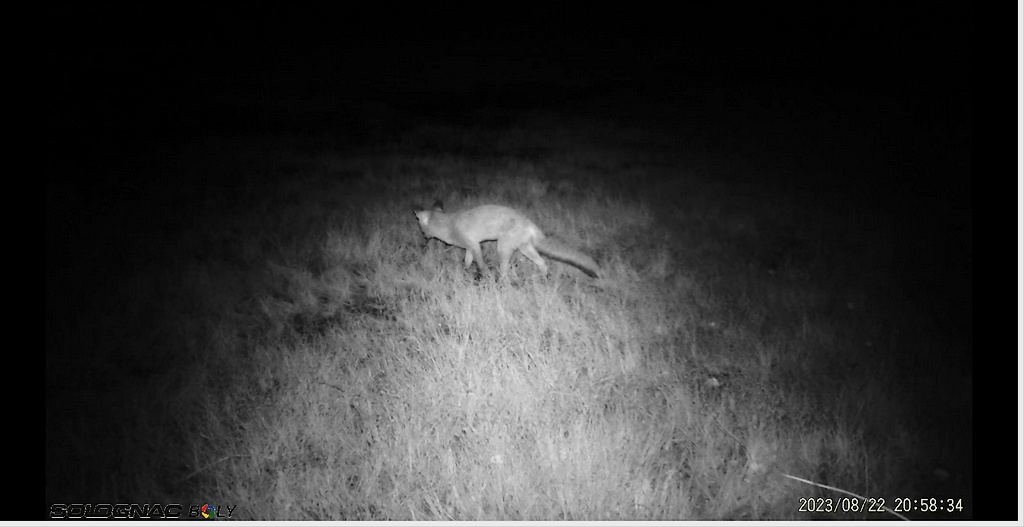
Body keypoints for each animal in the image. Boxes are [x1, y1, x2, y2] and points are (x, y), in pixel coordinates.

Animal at [415, 202, 601, 279]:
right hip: (525, 249)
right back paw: (542, 277)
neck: (448, 224)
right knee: (542, 262)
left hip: (502, 248)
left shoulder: (474, 245)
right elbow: (467, 261)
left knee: (504, 270)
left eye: (422, 229)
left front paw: (483, 275)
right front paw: (465, 270)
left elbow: (480, 264)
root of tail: (528, 222)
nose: (424, 239)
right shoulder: (470, 246)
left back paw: (501, 281)